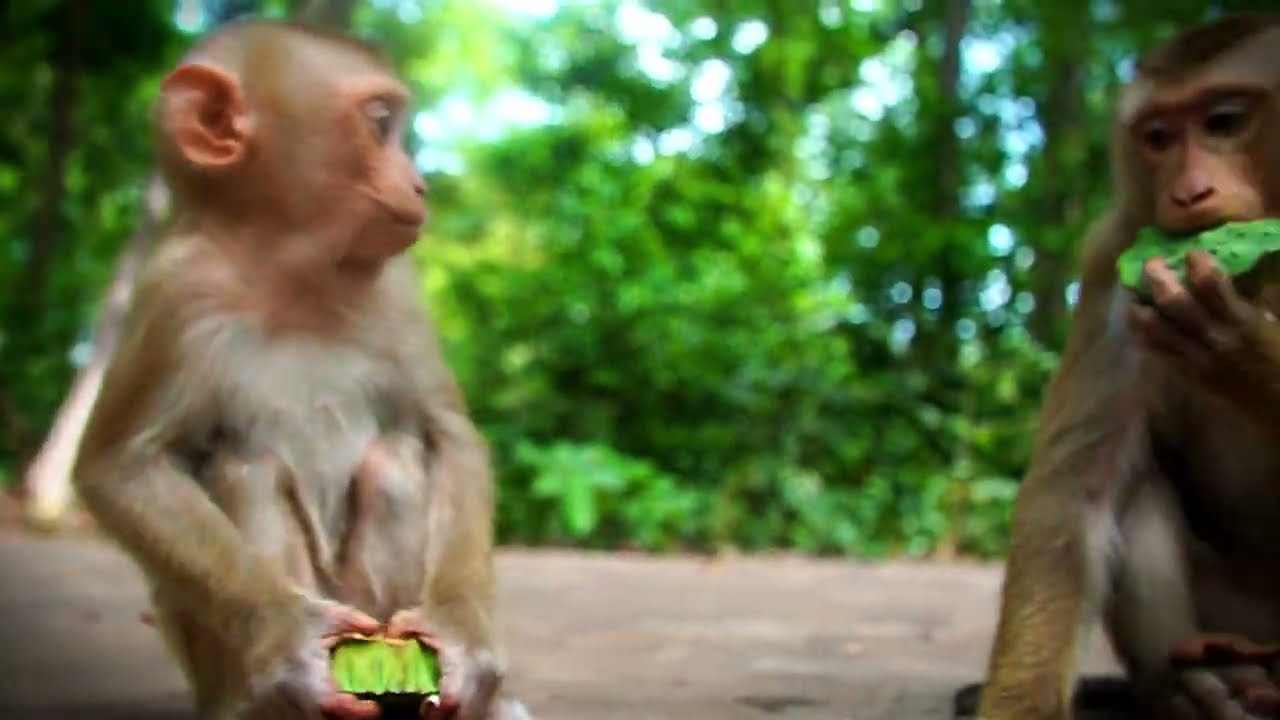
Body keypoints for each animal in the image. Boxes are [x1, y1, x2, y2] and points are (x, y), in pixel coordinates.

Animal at [71, 20, 530, 720]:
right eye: (380, 124)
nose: (419, 184)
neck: (292, 275)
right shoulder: (177, 290)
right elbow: (121, 466)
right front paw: (289, 638)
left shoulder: (398, 288)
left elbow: (448, 435)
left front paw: (460, 636)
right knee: (245, 468)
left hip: (367, 605)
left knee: (394, 460)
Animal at [963, 13, 1280, 720]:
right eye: (1158, 138)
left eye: (1223, 122)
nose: (1189, 193)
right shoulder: (1117, 255)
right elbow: (1076, 499)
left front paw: (1244, 355)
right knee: (1138, 493)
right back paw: (1209, 681)